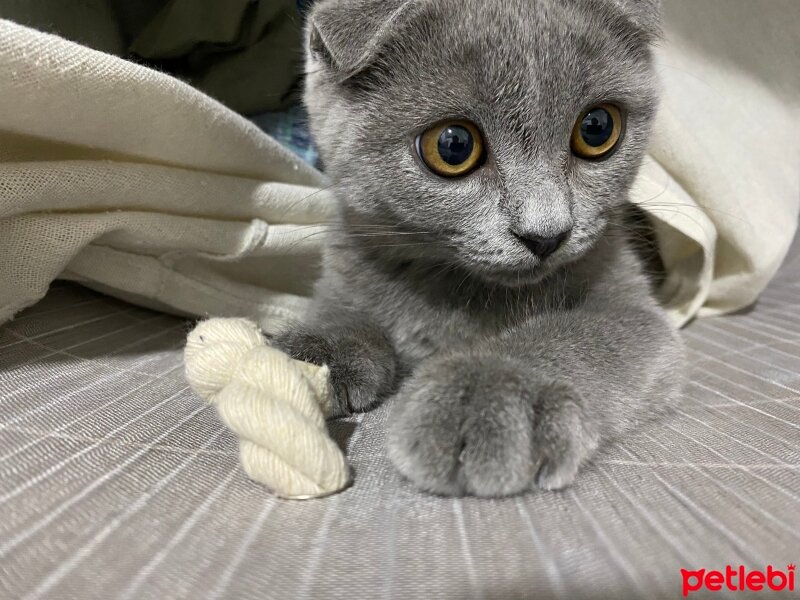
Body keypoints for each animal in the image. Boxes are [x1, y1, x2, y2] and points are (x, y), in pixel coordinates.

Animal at [278, 0, 684, 496]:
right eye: (454, 146)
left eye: (597, 128)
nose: (546, 234)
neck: (457, 292)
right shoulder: (347, 261)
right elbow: (339, 307)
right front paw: (311, 350)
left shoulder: (634, 308)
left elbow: (580, 331)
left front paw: (488, 393)